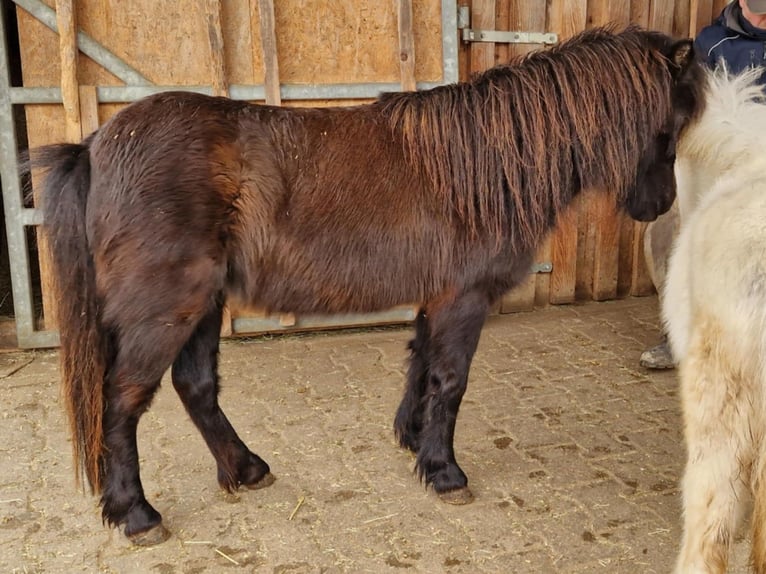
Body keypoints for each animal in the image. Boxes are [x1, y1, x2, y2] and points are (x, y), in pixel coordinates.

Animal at [34, 25, 704, 545]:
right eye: (669, 124)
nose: (658, 206)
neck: (484, 164)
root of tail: (96, 145)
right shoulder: (463, 297)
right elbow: (451, 380)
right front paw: (445, 472)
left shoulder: (437, 295)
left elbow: (421, 362)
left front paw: (412, 440)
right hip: (169, 307)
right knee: (121, 402)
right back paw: (136, 514)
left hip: (202, 303)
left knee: (195, 388)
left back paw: (245, 470)